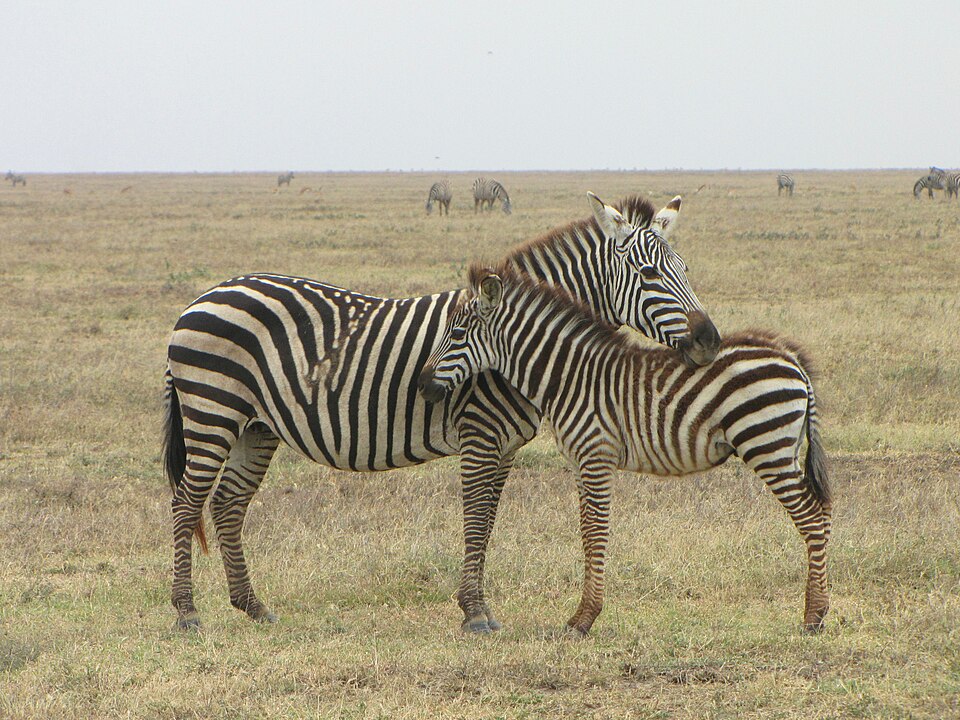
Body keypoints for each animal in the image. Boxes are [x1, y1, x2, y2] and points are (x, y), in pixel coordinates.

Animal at [165, 191, 720, 632]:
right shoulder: (479, 434)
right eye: (649, 274)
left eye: (686, 270)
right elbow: (474, 517)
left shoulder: (506, 446)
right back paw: (187, 613)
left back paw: (253, 607)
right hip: (213, 411)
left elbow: (489, 520)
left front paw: (479, 606)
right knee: (188, 501)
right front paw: (474, 612)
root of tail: (205, 296)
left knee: (228, 504)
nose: (710, 341)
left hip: (256, 426)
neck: (511, 338)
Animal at [420, 264, 832, 636]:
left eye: (457, 334)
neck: (569, 377)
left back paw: (813, 618)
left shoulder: (596, 455)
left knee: (811, 517)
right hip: (783, 448)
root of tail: (790, 358)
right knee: (823, 513)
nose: (423, 385)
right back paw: (820, 609)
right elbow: (586, 531)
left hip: (767, 445)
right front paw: (582, 615)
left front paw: (584, 619)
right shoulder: (580, 461)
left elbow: (596, 531)